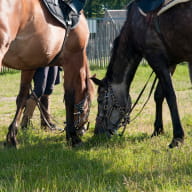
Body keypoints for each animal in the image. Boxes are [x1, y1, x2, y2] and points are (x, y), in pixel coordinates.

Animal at [0, 0, 94, 147]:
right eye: (89, 106)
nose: (82, 130)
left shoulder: (29, 65)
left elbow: (22, 97)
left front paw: (12, 137)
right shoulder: (72, 61)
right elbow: (69, 97)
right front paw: (72, 136)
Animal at [91, 0, 192, 148]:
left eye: (100, 100)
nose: (97, 132)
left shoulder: (156, 59)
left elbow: (170, 96)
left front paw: (177, 137)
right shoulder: (170, 63)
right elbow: (159, 95)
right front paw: (157, 130)